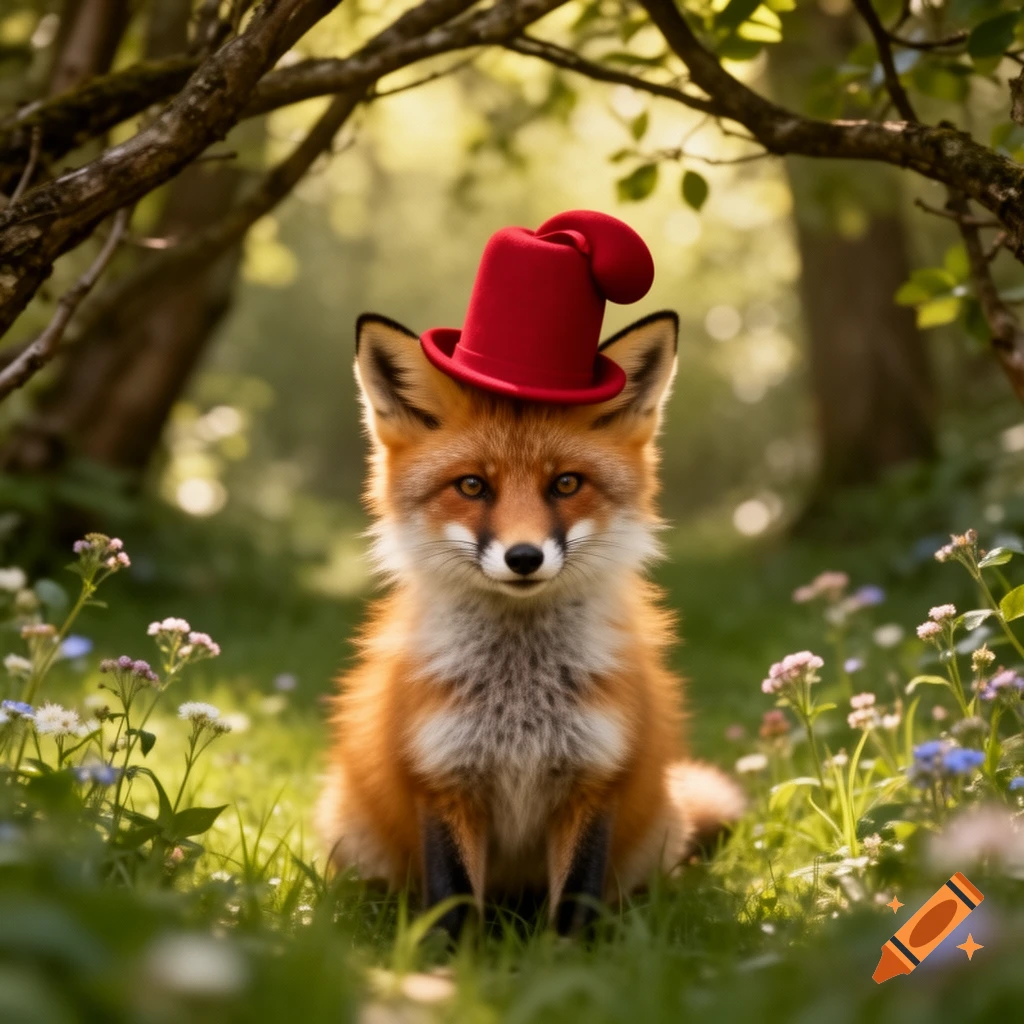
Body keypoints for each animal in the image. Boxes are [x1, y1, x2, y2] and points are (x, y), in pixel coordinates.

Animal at [318, 309, 745, 935]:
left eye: (565, 483)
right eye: (472, 485)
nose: (524, 557)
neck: (519, 700)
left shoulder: (594, 779)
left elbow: (575, 905)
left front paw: (569, 958)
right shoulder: (442, 780)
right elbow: (452, 903)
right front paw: (449, 960)